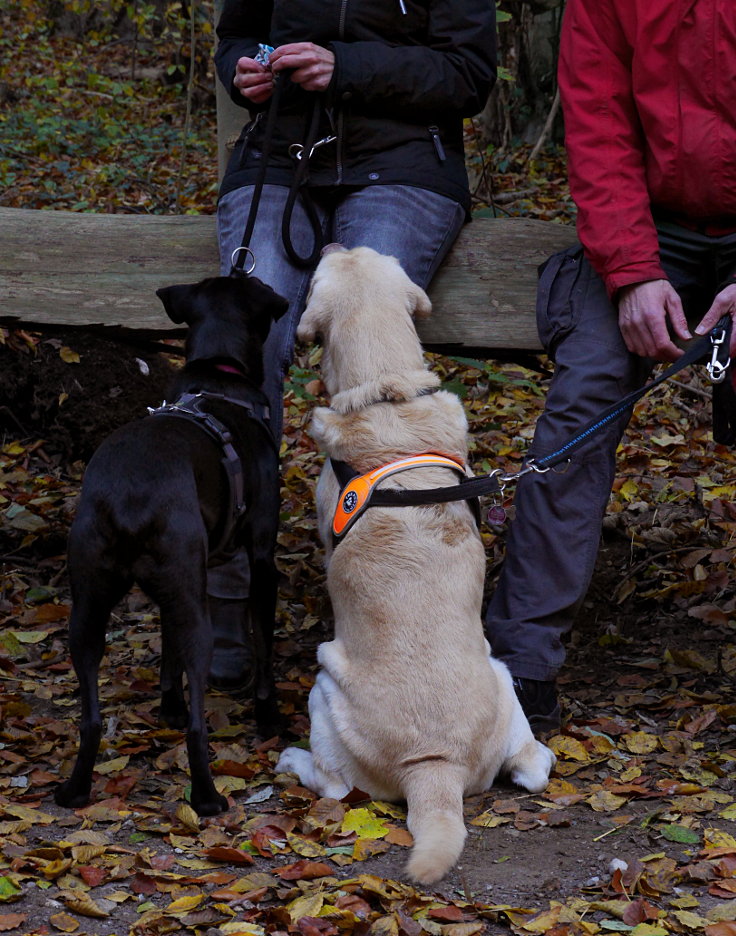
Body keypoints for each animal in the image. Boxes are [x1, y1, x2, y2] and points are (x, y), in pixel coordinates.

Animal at [54, 274, 288, 816]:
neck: (217, 376)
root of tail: (128, 499)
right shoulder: (261, 559)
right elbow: (263, 643)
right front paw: (268, 716)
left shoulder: (172, 590)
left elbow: (166, 653)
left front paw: (168, 707)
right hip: (194, 608)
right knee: (200, 724)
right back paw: (207, 797)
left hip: (89, 607)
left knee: (89, 719)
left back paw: (76, 789)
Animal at [278, 247, 556, 884]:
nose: (331, 245)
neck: (388, 391)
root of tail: (435, 767)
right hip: (502, 675)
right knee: (534, 764)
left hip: (325, 680)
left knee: (335, 787)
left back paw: (293, 759)